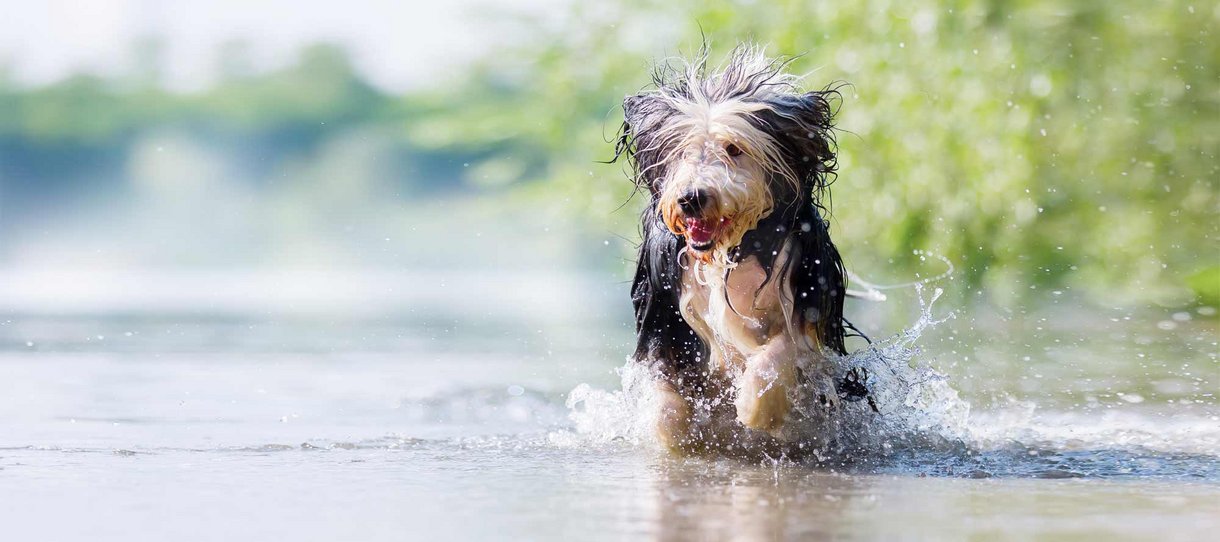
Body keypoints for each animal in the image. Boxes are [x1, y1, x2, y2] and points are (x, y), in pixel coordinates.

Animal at [614, 46, 854, 454]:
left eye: (733, 149)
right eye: (682, 150)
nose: (691, 198)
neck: (727, 252)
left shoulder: (805, 294)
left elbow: (780, 352)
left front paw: (756, 409)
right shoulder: (662, 310)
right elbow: (665, 394)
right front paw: (675, 434)